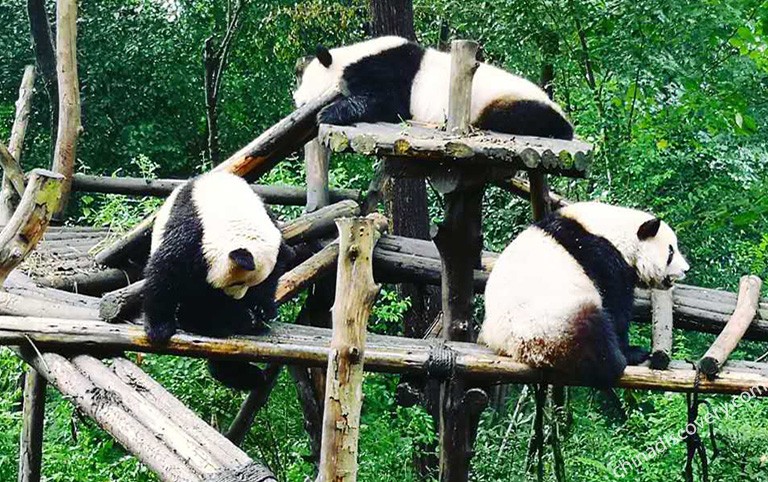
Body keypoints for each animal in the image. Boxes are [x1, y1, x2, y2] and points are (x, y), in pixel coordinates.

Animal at [141, 171, 292, 390]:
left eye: (252, 285)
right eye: (237, 283)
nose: (237, 298)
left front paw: (261, 310)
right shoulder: (192, 232)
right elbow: (166, 273)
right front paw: (158, 329)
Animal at [294, 36, 576, 140]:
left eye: (303, 98)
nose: (296, 102)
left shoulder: (388, 70)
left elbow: (385, 102)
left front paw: (328, 112)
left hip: (506, 101)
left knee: (520, 116)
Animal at [480, 202, 688, 388]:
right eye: (670, 252)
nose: (686, 269)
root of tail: (517, 351)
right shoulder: (601, 256)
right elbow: (615, 305)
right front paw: (631, 350)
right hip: (550, 325)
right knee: (592, 332)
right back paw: (618, 361)